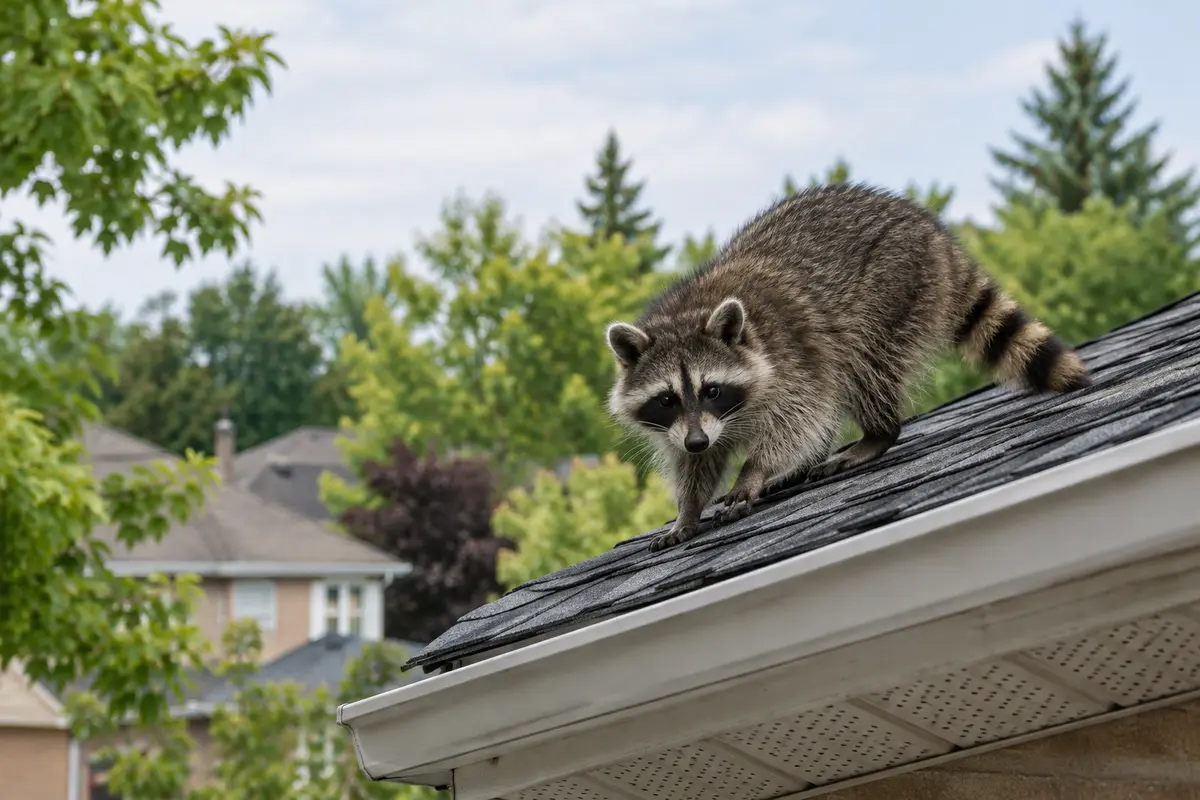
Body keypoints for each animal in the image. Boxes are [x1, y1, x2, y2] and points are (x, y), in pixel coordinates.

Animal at [605, 182, 1092, 552]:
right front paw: (687, 509)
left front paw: (754, 470)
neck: (688, 313)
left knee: (863, 365)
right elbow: (696, 464)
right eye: (667, 399)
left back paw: (878, 433)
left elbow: (798, 417)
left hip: (893, 289)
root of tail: (932, 233)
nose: (697, 440)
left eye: (711, 389)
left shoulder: (791, 358)